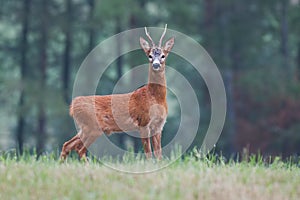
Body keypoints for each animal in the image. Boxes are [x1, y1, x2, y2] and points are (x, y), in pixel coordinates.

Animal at [59, 24, 175, 160]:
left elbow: (159, 155)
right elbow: (149, 155)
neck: (155, 98)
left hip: (85, 128)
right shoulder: (143, 122)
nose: (156, 64)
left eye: (163, 55)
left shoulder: (159, 126)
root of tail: (73, 106)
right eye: (150, 55)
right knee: (80, 149)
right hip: (93, 127)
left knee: (68, 145)